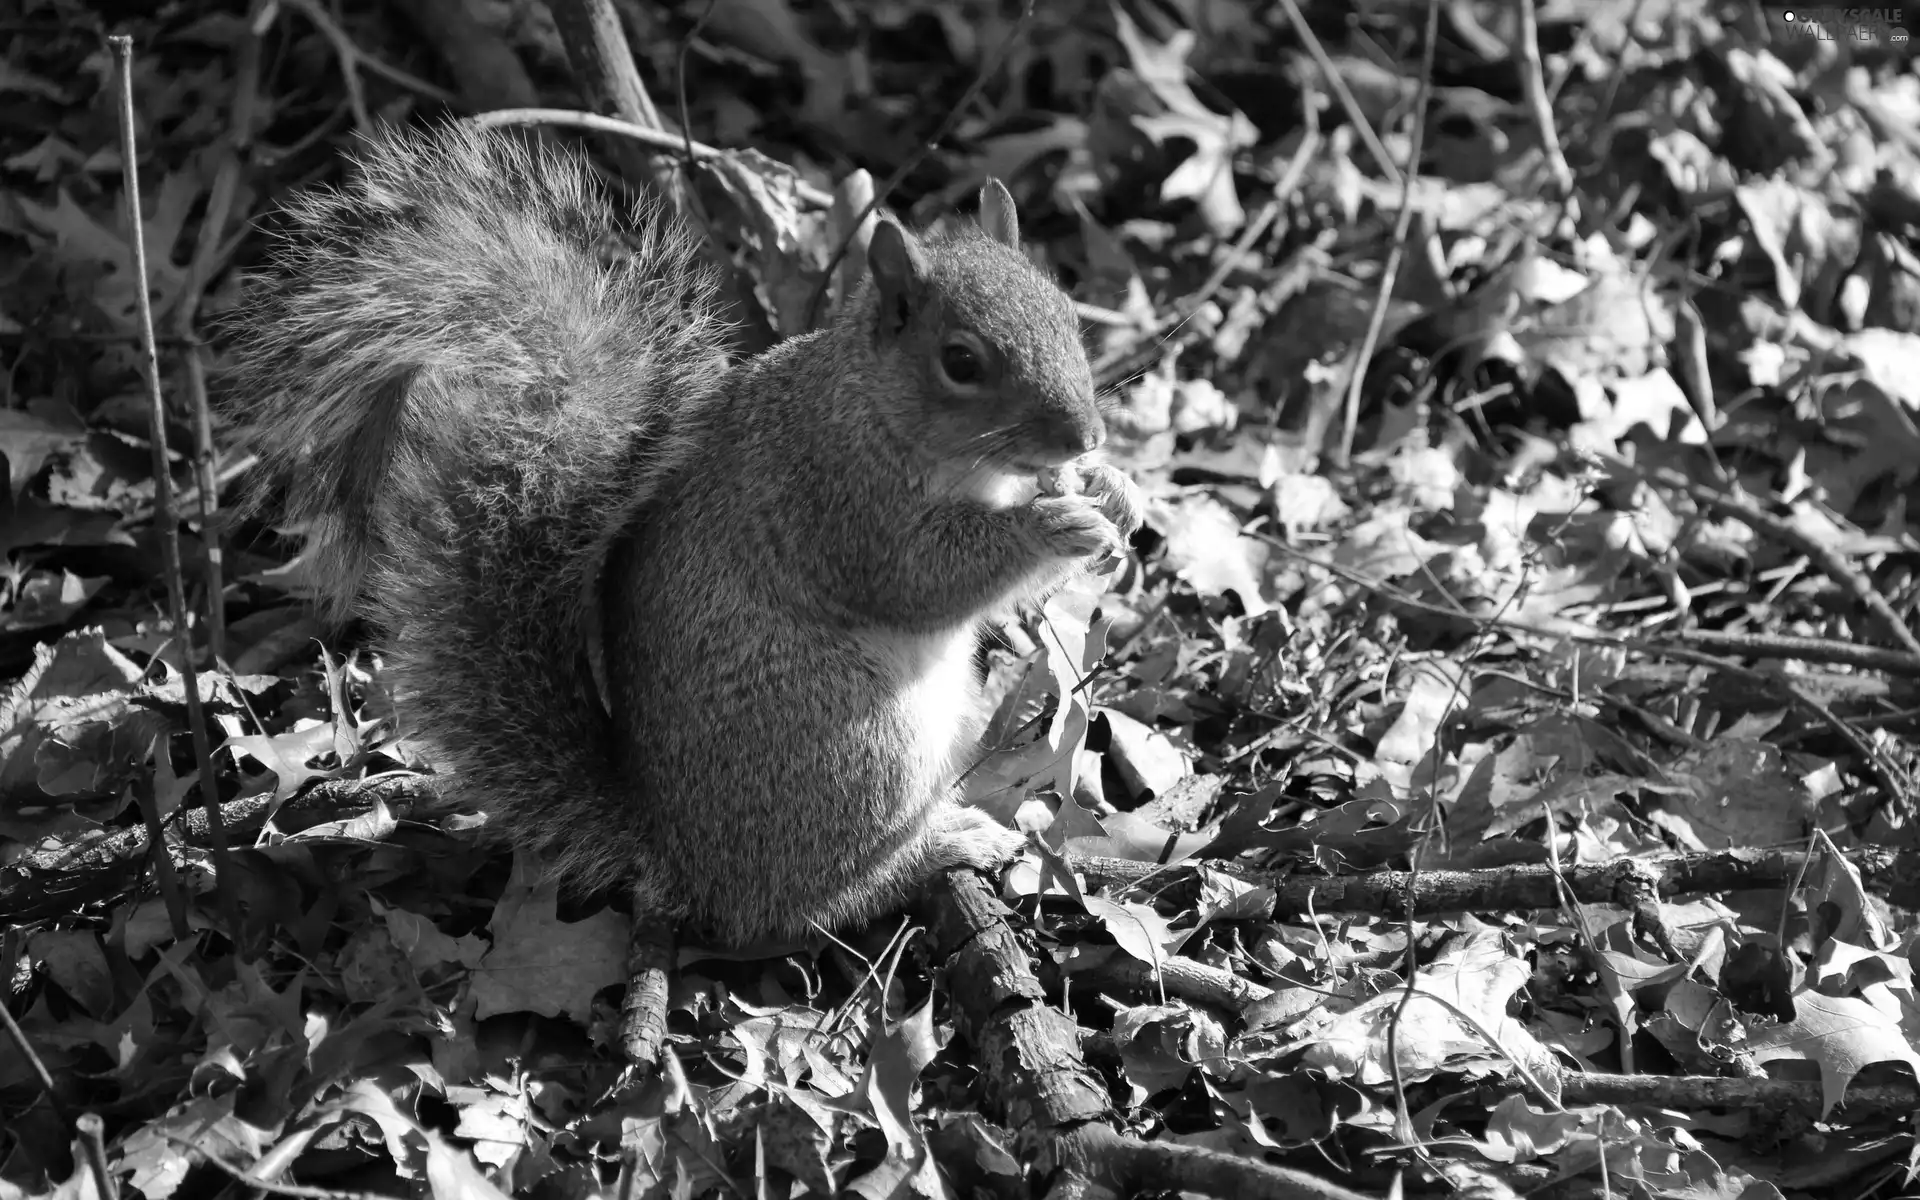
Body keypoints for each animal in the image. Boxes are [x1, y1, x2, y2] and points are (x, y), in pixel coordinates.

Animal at [224, 123, 1136, 944]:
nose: (1084, 435)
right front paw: (1050, 523)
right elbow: (922, 577)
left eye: (1068, 314)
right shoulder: (841, 494)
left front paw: (1114, 490)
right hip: (849, 745)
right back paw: (936, 849)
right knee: (805, 903)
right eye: (961, 361)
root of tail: (680, 855)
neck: (883, 410)